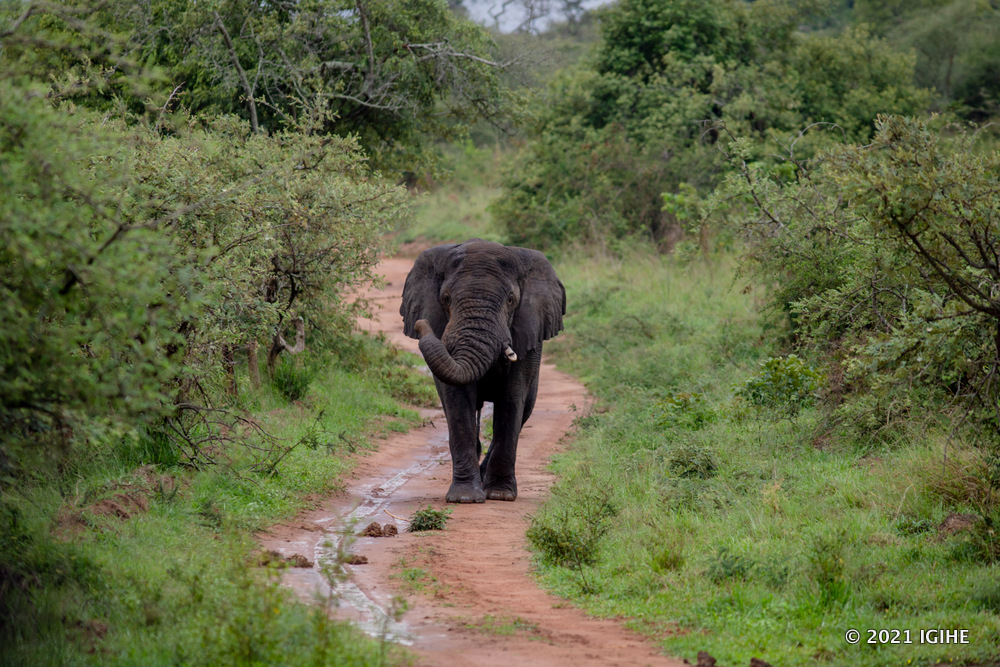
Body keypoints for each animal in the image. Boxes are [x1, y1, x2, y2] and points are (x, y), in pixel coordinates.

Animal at [400, 239, 565, 503]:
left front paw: (500, 495)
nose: (421, 324)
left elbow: (512, 399)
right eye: (446, 298)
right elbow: (457, 400)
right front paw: (464, 498)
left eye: (511, 299)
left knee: (524, 411)